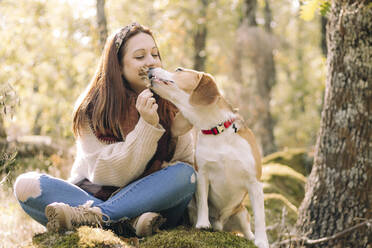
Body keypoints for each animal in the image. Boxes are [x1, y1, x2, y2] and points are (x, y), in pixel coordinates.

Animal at [147, 67, 268, 248]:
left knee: (246, 230)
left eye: (178, 69)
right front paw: (202, 224)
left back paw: (252, 238)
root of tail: (221, 224)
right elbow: (203, 202)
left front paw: (262, 241)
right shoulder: (202, 174)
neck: (217, 131)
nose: (150, 68)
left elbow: (260, 217)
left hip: (241, 213)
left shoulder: (254, 182)